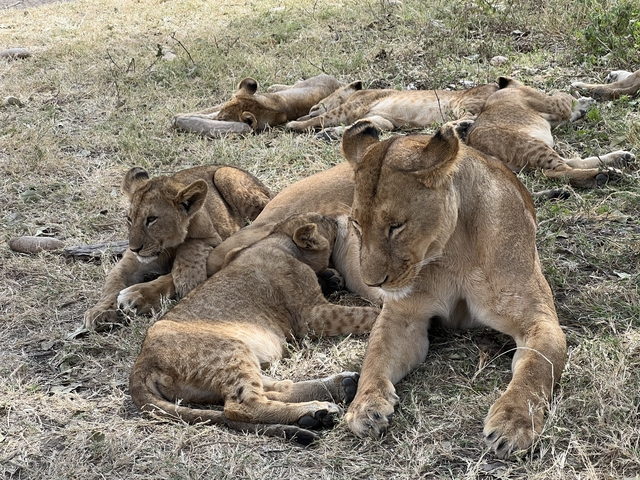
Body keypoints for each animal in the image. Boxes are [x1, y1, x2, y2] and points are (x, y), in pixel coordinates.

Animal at [84, 165, 272, 330]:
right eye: (129, 219)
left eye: (151, 219)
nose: (135, 248)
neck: (167, 247)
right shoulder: (130, 263)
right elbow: (113, 283)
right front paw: (100, 311)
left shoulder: (215, 240)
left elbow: (188, 249)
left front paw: (186, 277)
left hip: (224, 175)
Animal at [129, 213, 380, 444]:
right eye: (324, 220)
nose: (337, 217)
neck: (280, 241)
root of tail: (142, 361)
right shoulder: (312, 315)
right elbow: (362, 314)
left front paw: (330, 278)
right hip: (230, 350)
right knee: (242, 406)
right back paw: (317, 410)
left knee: (276, 388)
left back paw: (340, 388)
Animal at [285, 81, 499, 138]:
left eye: (324, 97)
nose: (311, 107)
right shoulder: (384, 121)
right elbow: (364, 125)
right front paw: (330, 133)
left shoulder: (356, 104)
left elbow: (322, 118)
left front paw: (295, 124)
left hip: (463, 102)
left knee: (474, 117)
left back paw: (459, 127)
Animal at [340, 120, 567, 459]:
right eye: (356, 223)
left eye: (396, 226)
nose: (373, 283)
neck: (451, 251)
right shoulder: (403, 318)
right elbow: (376, 356)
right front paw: (364, 406)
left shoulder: (539, 321)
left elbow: (535, 369)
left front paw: (512, 424)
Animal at [464, 77, 635, 188]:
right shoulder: (554, 104)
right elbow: (563, 95)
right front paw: (584, 100)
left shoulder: (556, 117)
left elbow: (568, 112)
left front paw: (583, 105)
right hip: (530, 145)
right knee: (557, 171)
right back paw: (606, 175)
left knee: (572, 163)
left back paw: (620, 159)